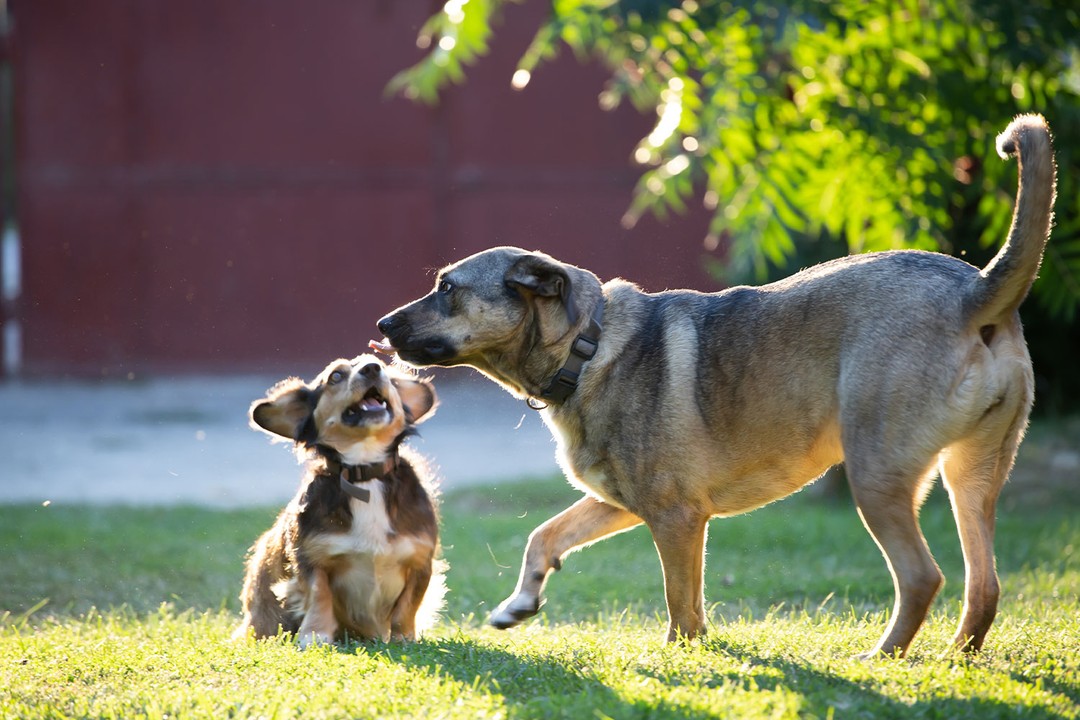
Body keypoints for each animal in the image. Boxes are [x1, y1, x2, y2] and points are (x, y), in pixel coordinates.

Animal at [235, 358, 442, 643]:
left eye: (383, 368)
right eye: (335, 376)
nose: (372, 368)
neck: (363, 473)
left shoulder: (420, 560)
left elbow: (408, 605)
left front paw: (403, 639)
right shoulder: (311, 557)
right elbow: (319, 594)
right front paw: (315, 635)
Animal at [371, 113, 1054, 660]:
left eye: (447, 288)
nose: (380, 326)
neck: (588, 350)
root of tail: (975, 293)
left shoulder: (675, 518)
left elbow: (681, 604)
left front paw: (684, 657)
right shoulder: (622, 502)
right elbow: (546, 536)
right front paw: (519, 605)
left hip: (877, 479)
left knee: (921, 577)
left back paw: (882, 657)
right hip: (971, 477)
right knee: (984, 586)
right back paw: (957, 656)